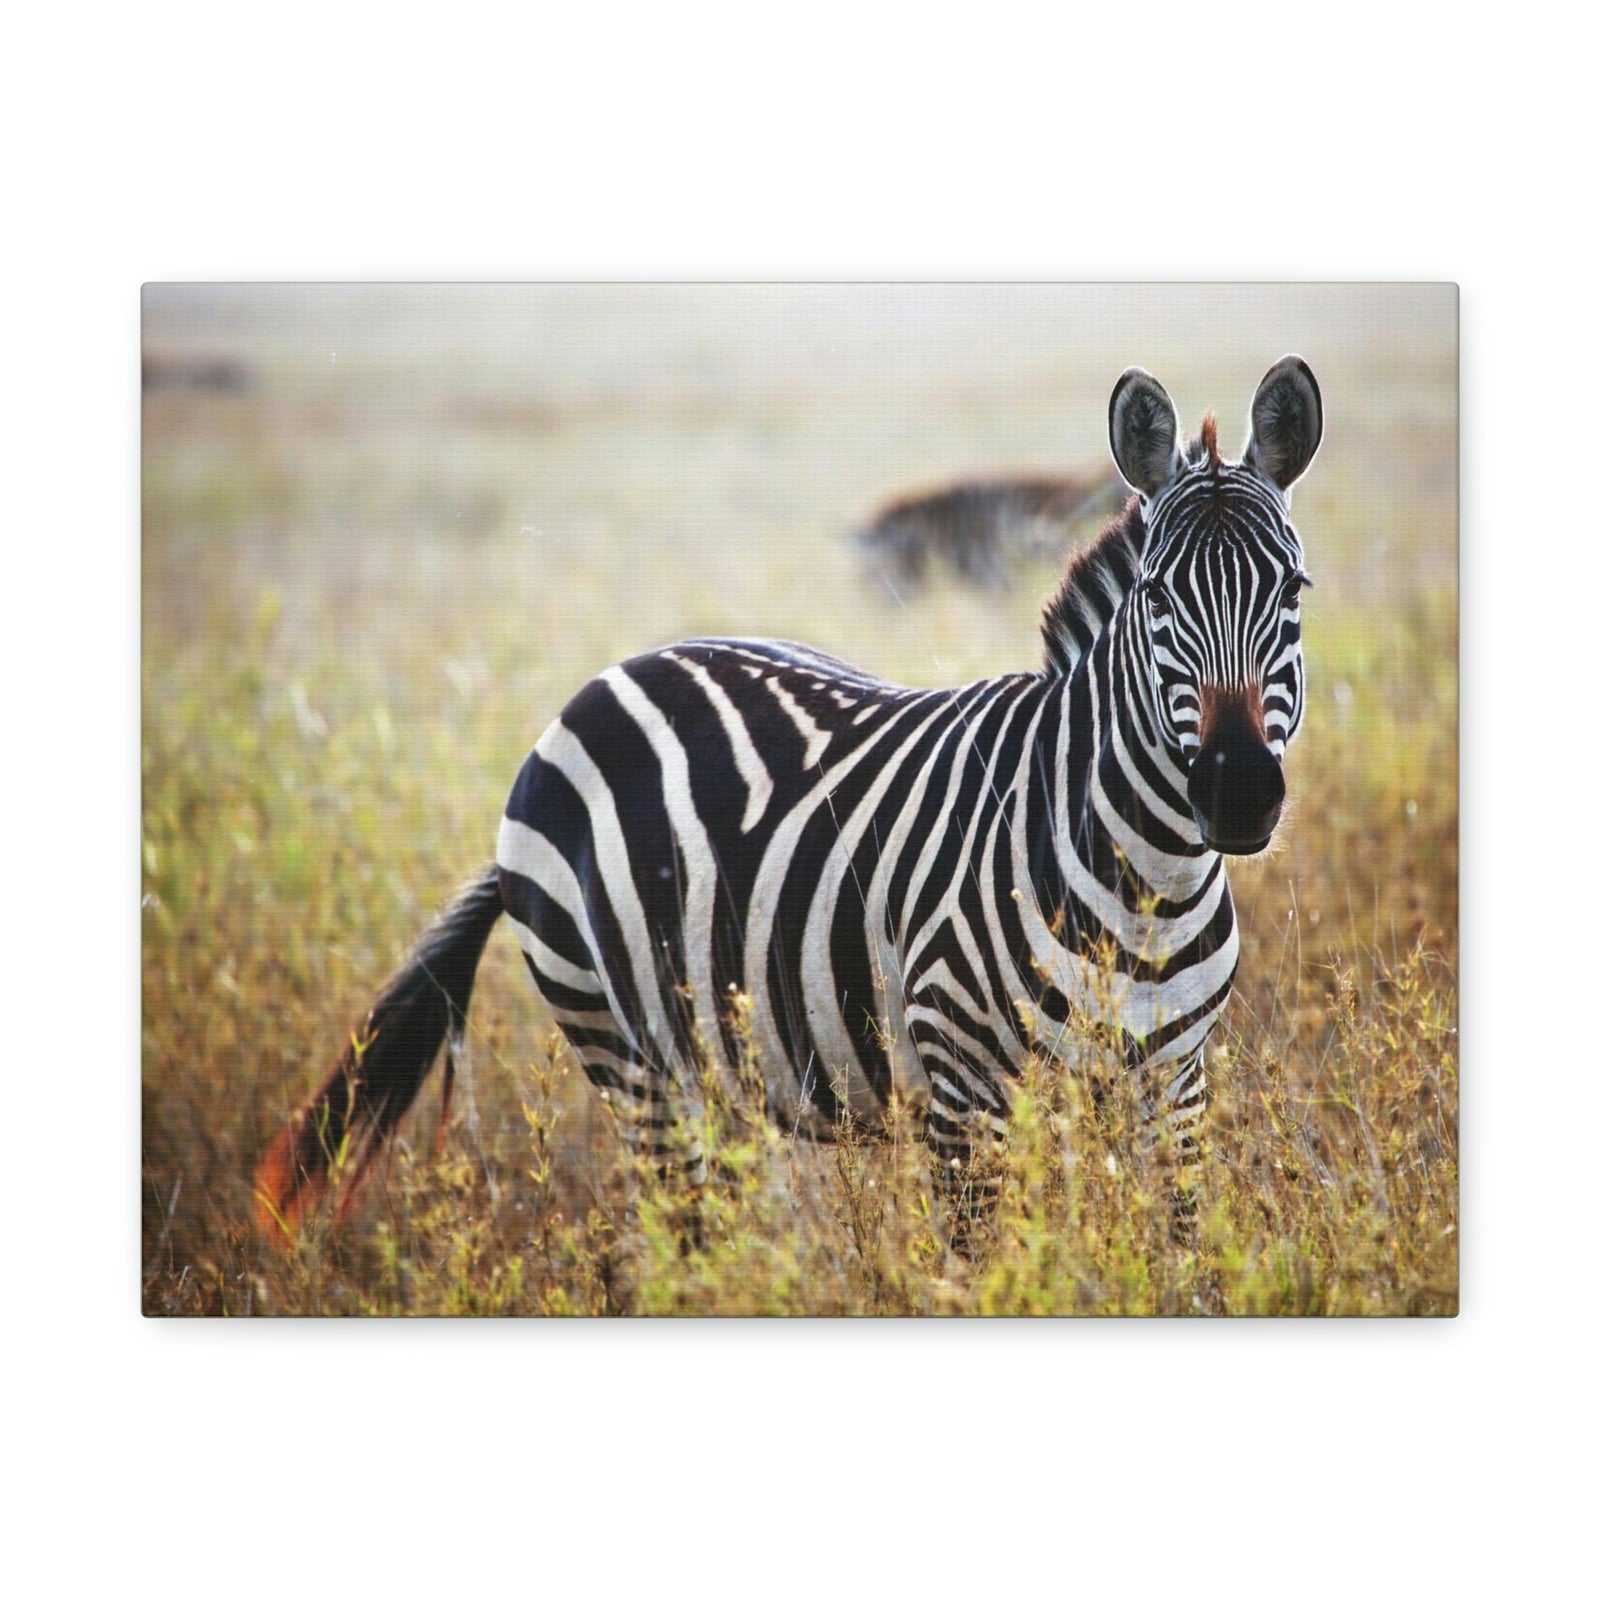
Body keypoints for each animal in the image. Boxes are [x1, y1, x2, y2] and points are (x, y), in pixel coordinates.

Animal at [253, 356, 1323, 1244]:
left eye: (1295, 592)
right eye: (1158, 598)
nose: (1235, 793)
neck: (1147, 881)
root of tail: (601, 682)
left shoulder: (1174, 1089)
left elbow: (1173, 1258)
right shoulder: (963, 1089)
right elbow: (988, 1270)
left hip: (717, 1068)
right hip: (631, 1058)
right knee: (682, 1245)